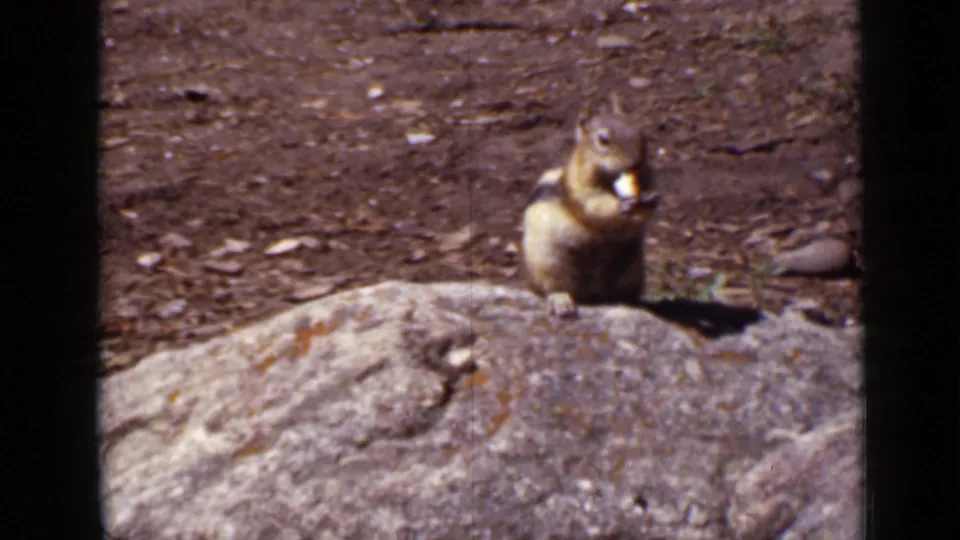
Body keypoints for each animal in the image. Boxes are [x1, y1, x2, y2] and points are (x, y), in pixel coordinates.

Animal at [521, 92, 660, 318]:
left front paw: (651, 199)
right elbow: (595, 205)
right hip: (548, 261)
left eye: (641, 131)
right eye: (603, 139)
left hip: (632, 267)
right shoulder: (581, 188)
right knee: (553, 286)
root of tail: (591, 294)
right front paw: (624, 204)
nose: (637, 163)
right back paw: (561, 300)